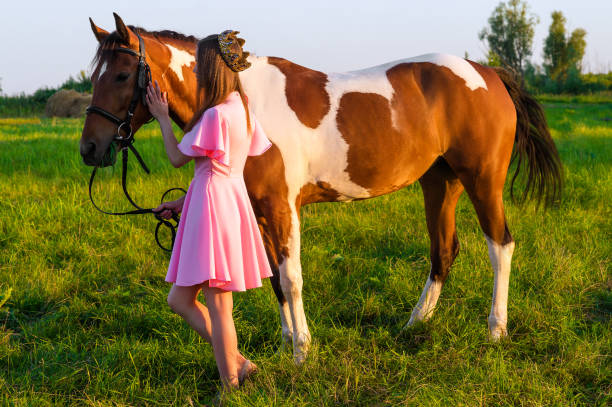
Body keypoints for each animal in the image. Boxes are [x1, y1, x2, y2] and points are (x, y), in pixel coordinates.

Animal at [81, 13, 564, 364]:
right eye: (94, 76)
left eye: (122, 75)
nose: (90, 148)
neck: (243, 99)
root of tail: (490, 74)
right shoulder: (260, 211)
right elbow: (275, 281)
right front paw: (285, 341)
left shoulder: (283, 209)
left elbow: (292, 278)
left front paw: (302, 351)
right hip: (439, 182)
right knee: (443, 250)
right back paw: (415, 323)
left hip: (482, 181)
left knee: (500, 246)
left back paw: (495, 330)